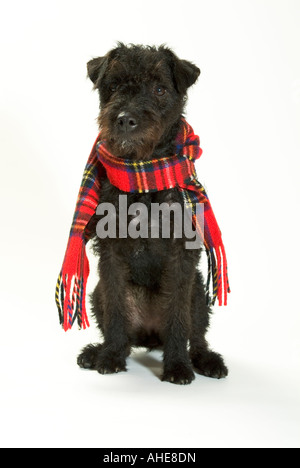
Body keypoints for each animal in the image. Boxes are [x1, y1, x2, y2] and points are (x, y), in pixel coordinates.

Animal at [77, 43, 227, 384]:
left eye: (160, 89)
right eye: (114, 86)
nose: (125, 119)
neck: (142, 172)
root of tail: (148, 334)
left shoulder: (181, 257)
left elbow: (177, 318)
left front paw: (178, 366)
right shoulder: (111, 255)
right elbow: (117, 311)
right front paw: (110, 357)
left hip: (198, 295)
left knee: (196, 335)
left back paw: (206, 360)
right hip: (96, 294)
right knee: (122, 331)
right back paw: (97, 352)